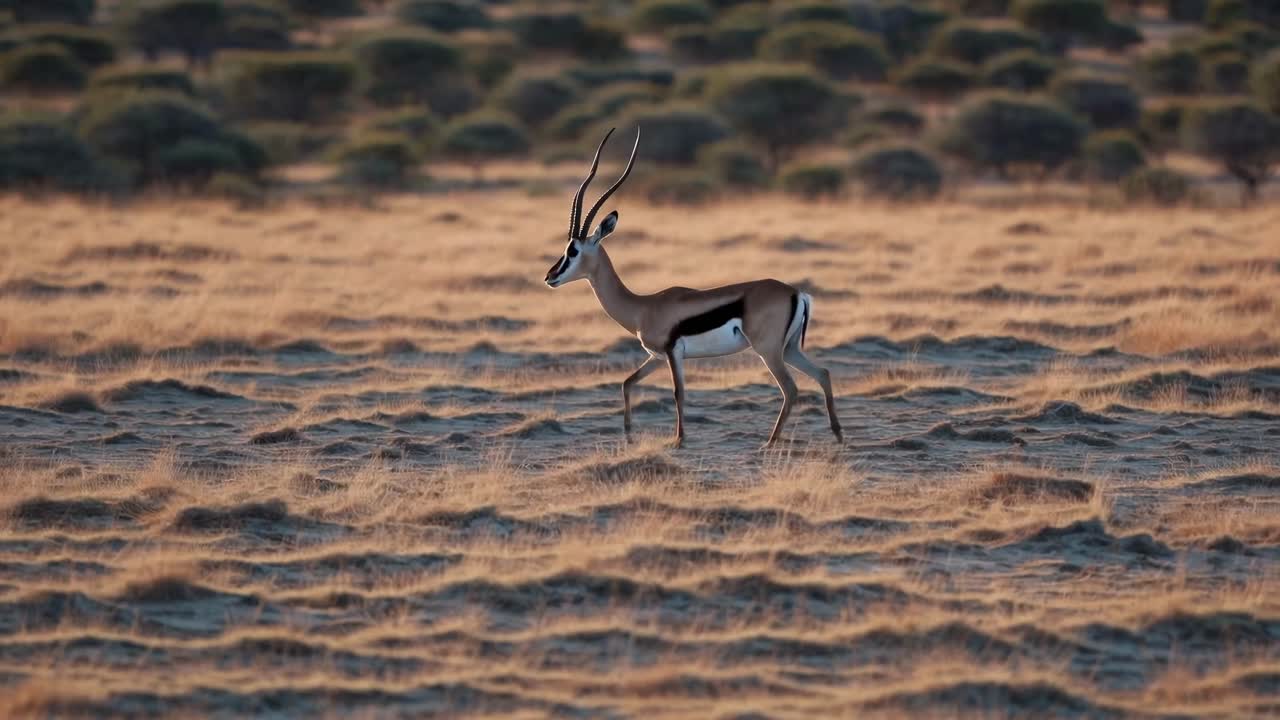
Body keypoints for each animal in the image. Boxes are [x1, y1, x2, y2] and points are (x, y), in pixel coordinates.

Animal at [544, 128, 844, 448]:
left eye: (572, 251)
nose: (550, 276)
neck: (643, 308)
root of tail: (795, 293)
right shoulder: (656, 356)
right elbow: (627, 382)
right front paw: (628, 434)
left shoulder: (673, 353)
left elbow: (679, 393)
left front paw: (679, 439)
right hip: (788, 349)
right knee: (823, 373)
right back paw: (837, 435)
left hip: (769, 351)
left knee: (790, 389)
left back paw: (770, 442)